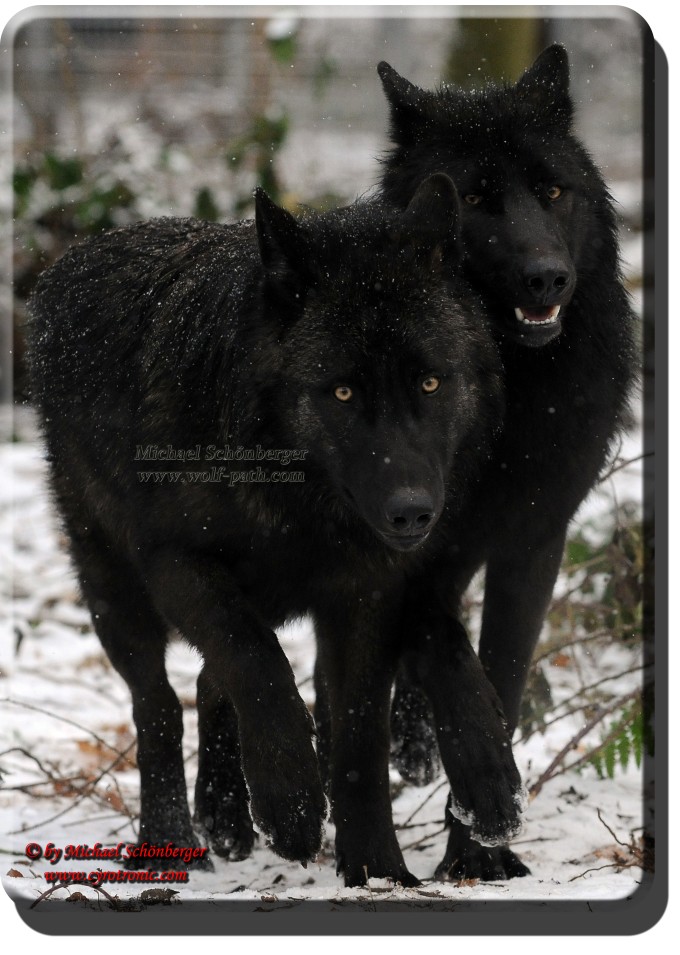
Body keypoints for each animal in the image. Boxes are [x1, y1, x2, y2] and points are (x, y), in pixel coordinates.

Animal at [378, 44, 636, 880]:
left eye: (552, 190)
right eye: (474, 199)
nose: (547, 277)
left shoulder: (533, 538)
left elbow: (505, 671)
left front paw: (477, 854)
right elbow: (447, 651)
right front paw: (484, 785)